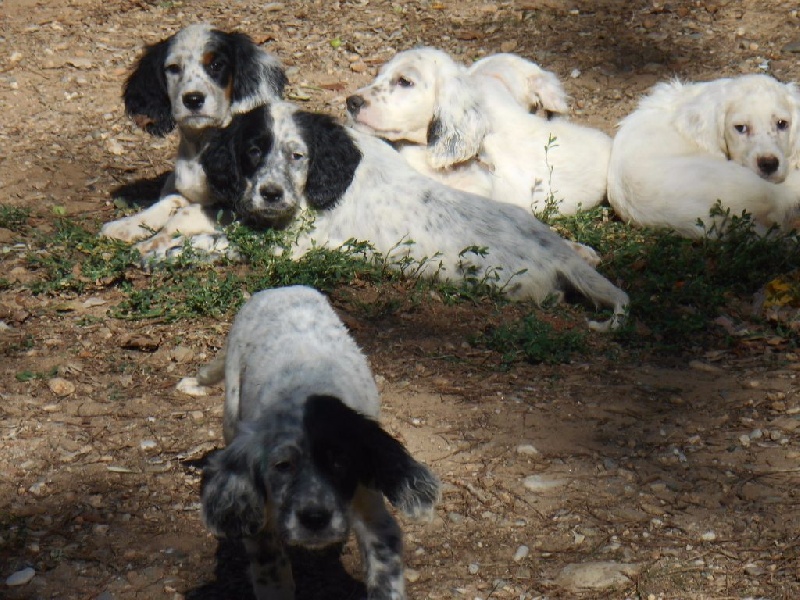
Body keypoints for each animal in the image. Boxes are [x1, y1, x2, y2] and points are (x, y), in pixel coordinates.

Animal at [100, 23, 286, 256]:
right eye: (173, 68)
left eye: (216, 65)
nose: (193, 99)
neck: (201, 144)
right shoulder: (185, 192)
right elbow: (166, 203)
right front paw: (125, 226)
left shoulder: (239, 207)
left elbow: (183, 215)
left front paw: (152, 242)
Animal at [198, 286, 440, 600]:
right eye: (282, 465)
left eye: (340, 462)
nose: (314, 519)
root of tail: (280, 288)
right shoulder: (263, 523)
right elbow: (272, 575)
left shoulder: (375, 517)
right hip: (231, 408)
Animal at [200, 101, 632, 330]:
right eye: (253, 151)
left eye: (297, 155)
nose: (270, 194)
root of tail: (554, 255)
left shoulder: (293, 246)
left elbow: (222, 239)